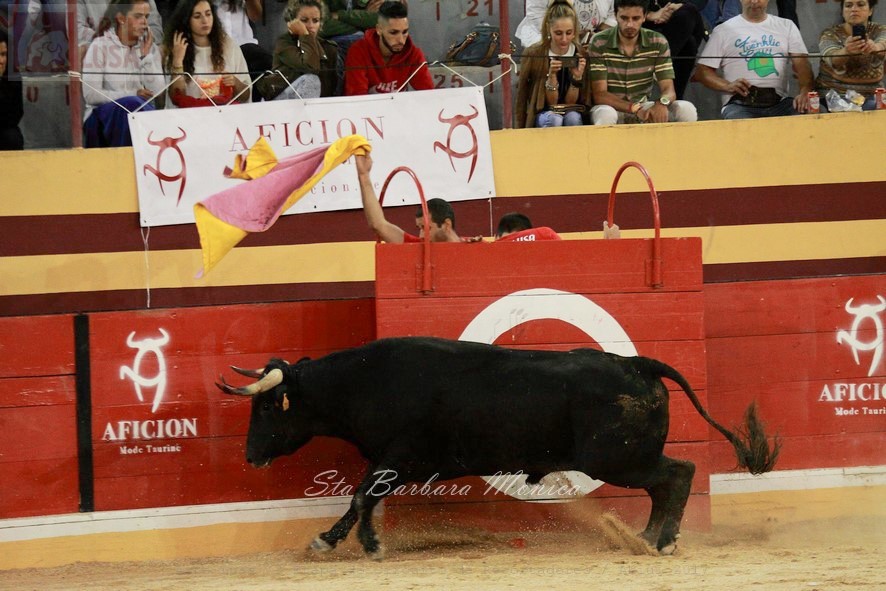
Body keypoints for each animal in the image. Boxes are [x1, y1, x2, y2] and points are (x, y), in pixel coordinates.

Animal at [217, 336, 779, 557]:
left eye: (265, 409)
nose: (250, 456)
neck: (362, 382)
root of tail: (636, 363)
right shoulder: (392, 463)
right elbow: (365, 499)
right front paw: (360, 541)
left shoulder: (397, 458)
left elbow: (360, 496)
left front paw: (342, 543)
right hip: (625, 460)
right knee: (666, 484)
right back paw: (644, 537)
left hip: (617, 460)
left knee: (679, 473)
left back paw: (660, 542)